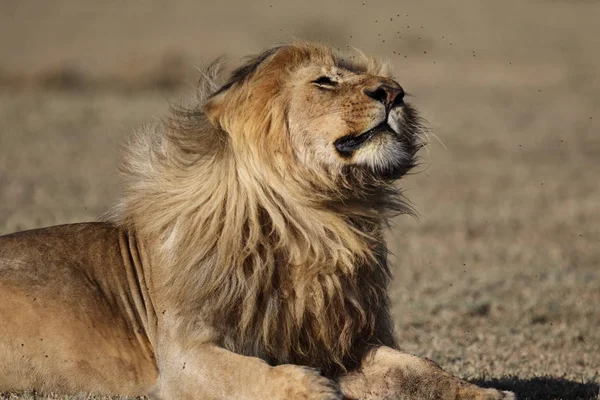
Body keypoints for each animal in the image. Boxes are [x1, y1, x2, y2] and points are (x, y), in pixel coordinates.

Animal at [0, 42, 516, 398]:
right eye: (325, 82)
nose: (394, 92)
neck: (314, 220)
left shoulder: (342, 340)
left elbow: (419, 367)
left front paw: (486, 393)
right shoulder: (182, 355)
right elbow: (254, 374)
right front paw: (316, 389)